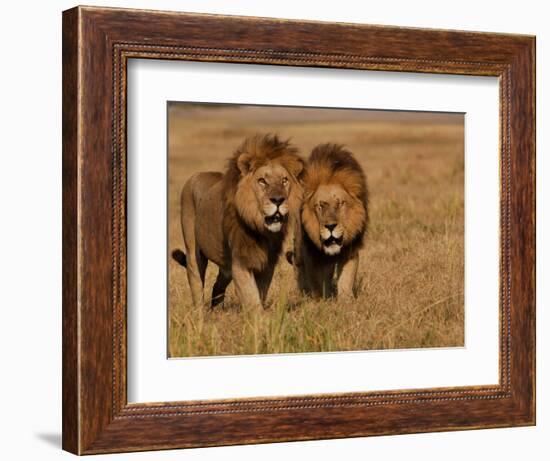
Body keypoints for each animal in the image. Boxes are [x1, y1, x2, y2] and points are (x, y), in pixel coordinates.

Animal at [171, 133, 304, 310]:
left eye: (284, 180)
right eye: (262, 181)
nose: (278, 200)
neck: (261, 230)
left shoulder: (267, 264)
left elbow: (260, 294)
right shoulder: (240, 262)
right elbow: (251, 298)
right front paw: (257, 317)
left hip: (225, 265)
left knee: (217, 286)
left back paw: (216, 311)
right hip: (193, 252)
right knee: (197, 284)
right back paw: (200, 313)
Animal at [294, 144, 370, 300]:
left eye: (340, 203)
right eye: (320, 205)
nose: (330, 226)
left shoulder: (350, 250)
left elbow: (346, 278)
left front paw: (346, 300)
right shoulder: (312, 252)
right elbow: (316, 281)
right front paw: (319, 301)